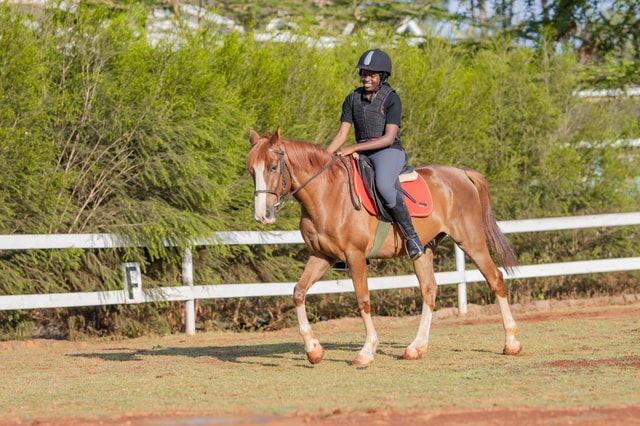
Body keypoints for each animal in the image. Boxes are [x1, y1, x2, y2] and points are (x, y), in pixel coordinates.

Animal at [246, 127, 522, 366]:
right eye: (251, 171)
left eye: (273, 167)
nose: (262, 215)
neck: (327, 194)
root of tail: (461, 173)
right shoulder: (321, 256)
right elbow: (299, 292)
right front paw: (314, 350)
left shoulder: (355, 256)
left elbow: (363, 300)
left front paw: (366, 352)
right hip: (423, 250)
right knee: (429, 290)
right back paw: (415, 348)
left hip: (471, 241)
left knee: (495, 279)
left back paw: (511, 343)